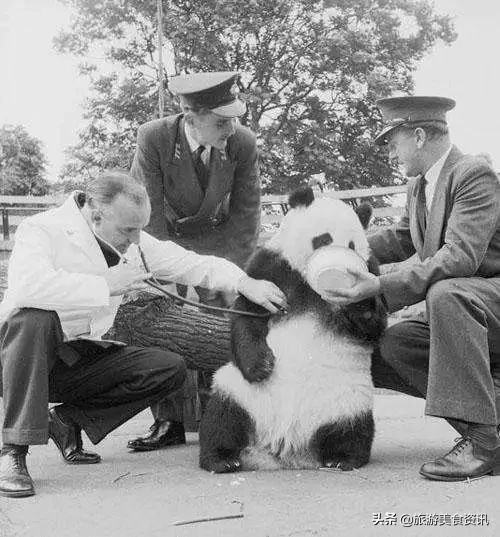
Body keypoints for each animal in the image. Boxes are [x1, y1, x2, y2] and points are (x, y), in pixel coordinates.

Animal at [197, 186, 384, 472]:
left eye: (352, 245)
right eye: (323, 239)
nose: (340, 264)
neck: (310, 281)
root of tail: (286, 449)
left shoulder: (372, 270)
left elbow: (373, 326)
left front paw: (356, 297)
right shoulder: (272, 268)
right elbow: (248, 314)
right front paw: (262, 365)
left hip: (348, 398)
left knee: (352, 428)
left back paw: (342, 458)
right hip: (242, 392)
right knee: (223, 416)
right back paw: (222, 459)